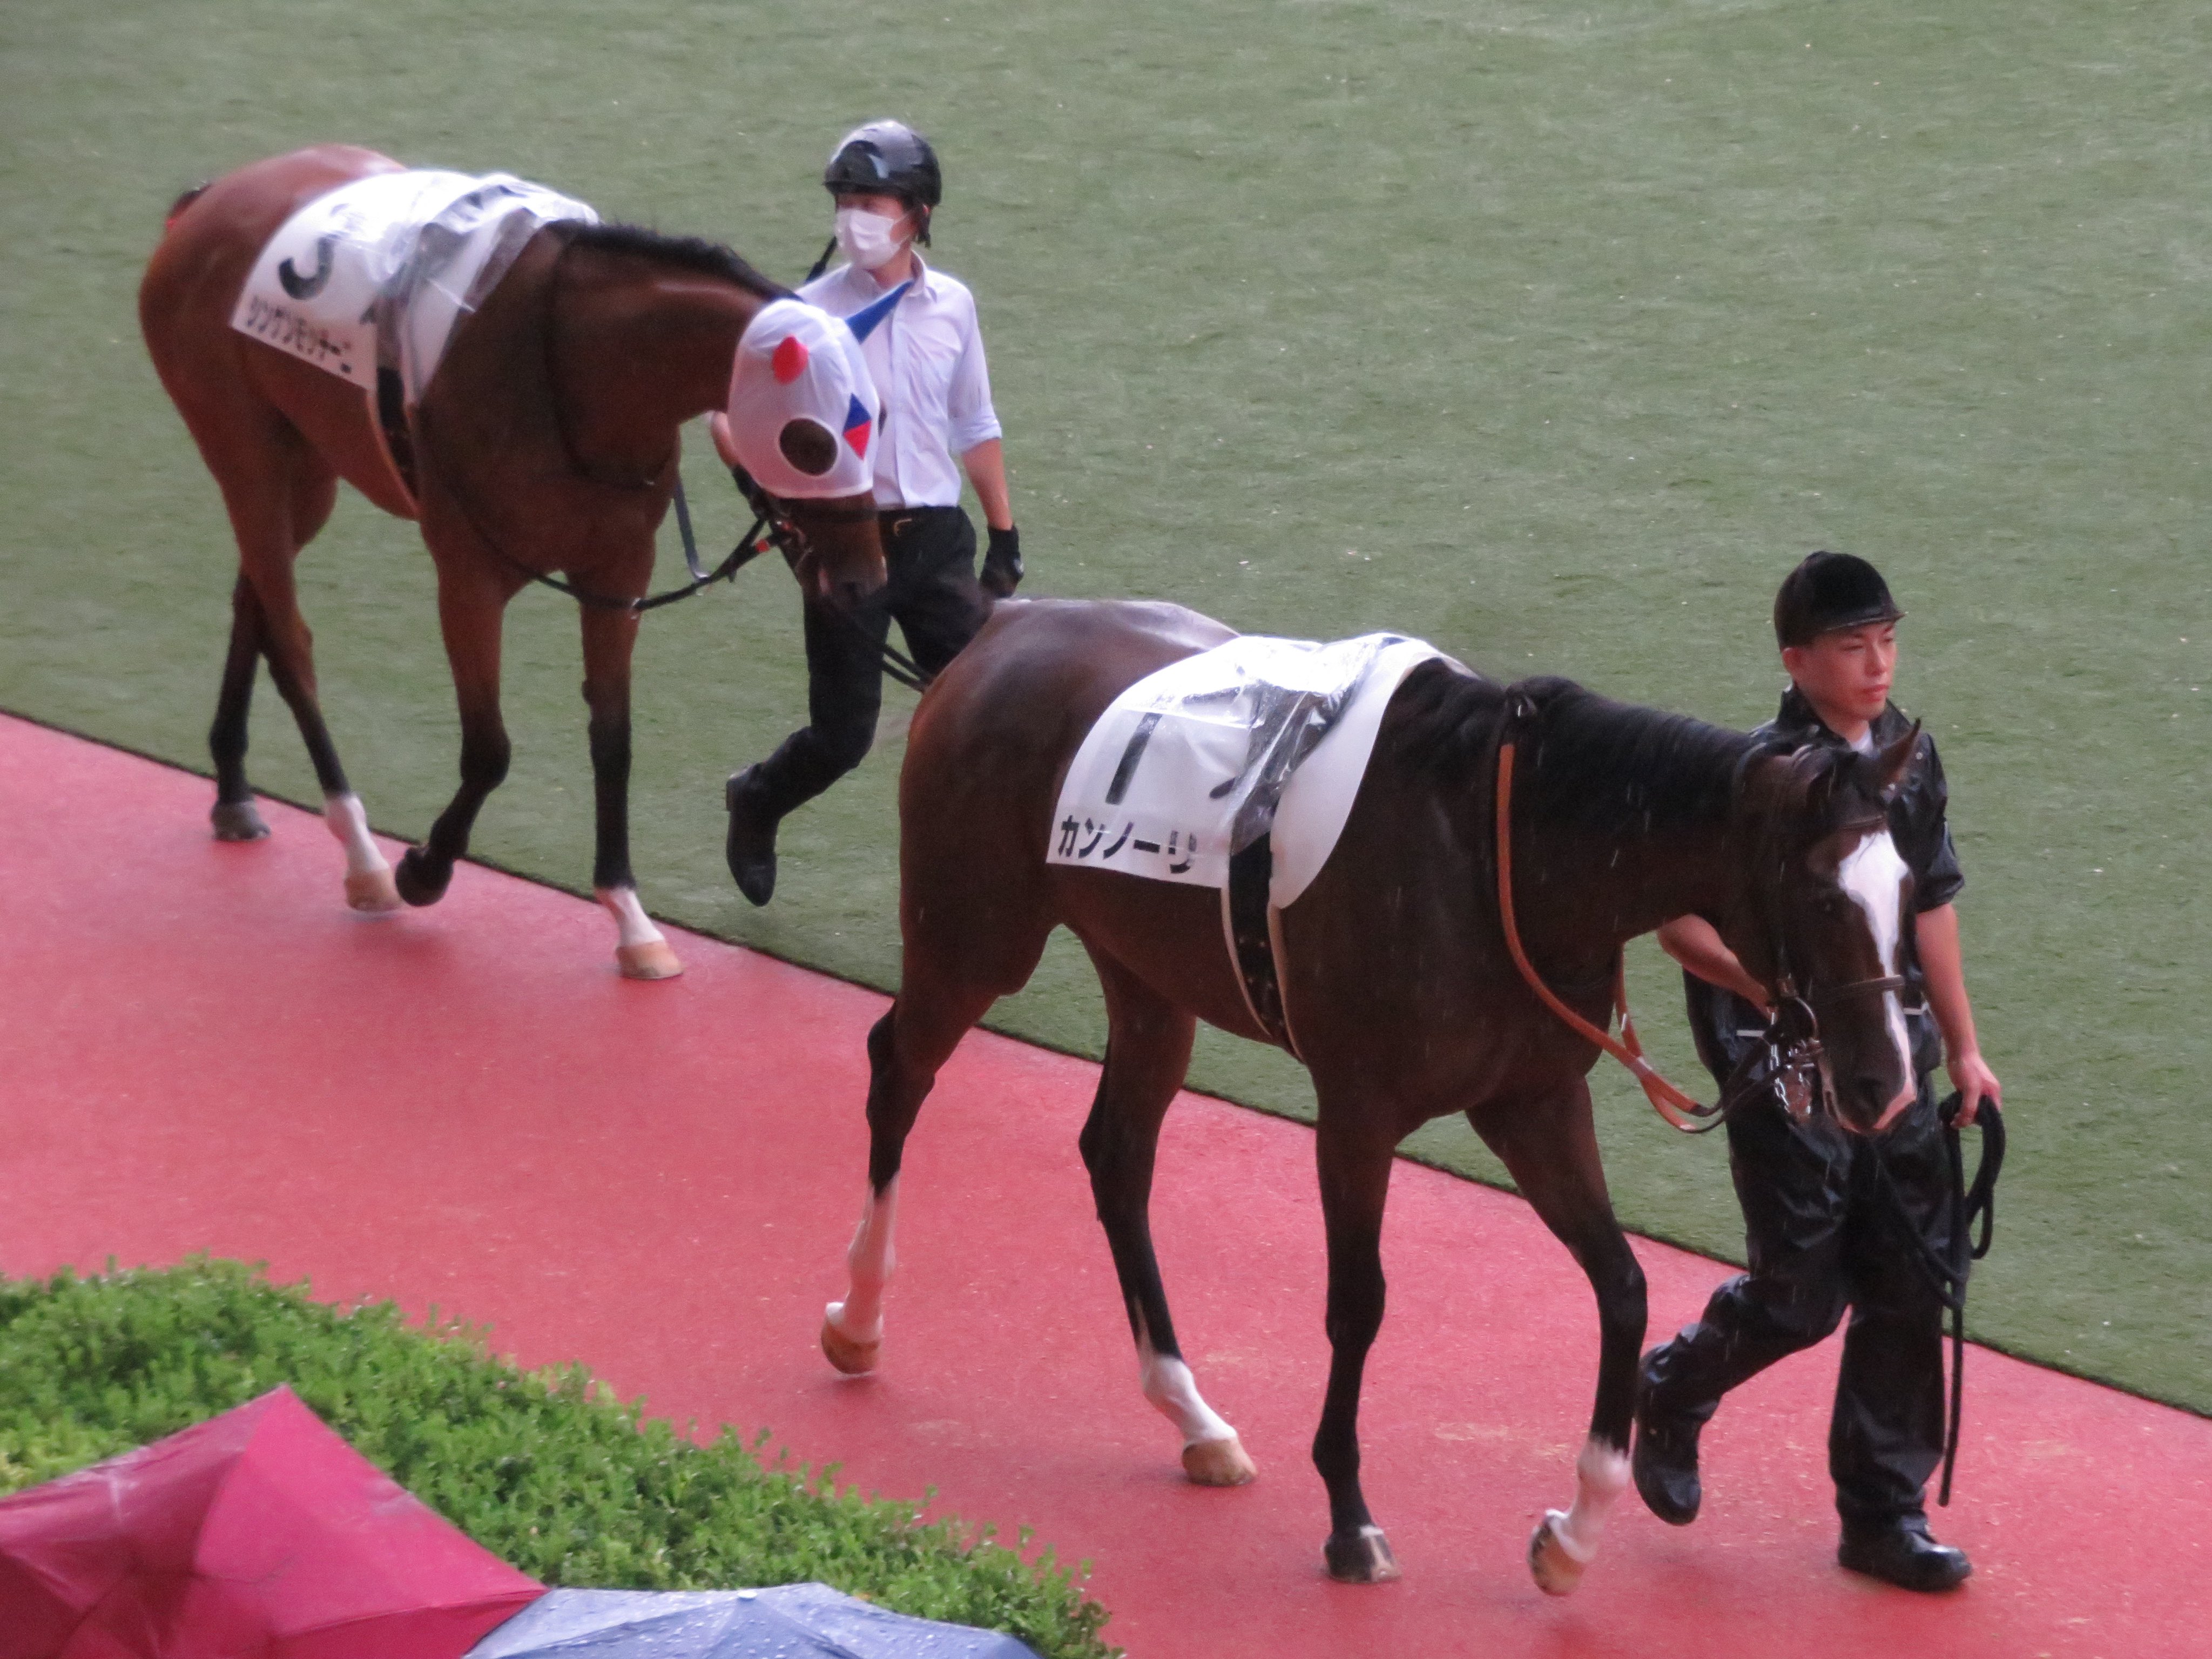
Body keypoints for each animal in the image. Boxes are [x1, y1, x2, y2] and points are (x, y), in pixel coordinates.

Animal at [139, 145, 885, 978]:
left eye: (881, 419)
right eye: (811, 441)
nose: (865, 580)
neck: (574, 375)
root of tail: (209, 200)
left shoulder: (617, 572)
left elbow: (614, 740)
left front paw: (630, 918)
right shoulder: (469, 578)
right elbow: (489, 748)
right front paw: (424, 867)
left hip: (306, 466)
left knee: (255, 601)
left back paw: (233, 788)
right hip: (242, 446)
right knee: (292, 640)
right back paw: (362, 857)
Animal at [815, 597, 1923, 1593]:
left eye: (1908, 888)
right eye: (1824, 897)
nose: (1885, 1081)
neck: (1501, 851)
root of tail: (999, 629)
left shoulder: (1534, 1101)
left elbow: (1623, 1287)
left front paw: (1575, 1533)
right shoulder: (1357, 1109)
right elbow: (1359, 1302)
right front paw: (1350, 1520)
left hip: (1147, 979)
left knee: (1116, 1154)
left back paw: (1193, 1415)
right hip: (975, 935)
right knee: (896, 1070)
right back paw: (859, 1316)